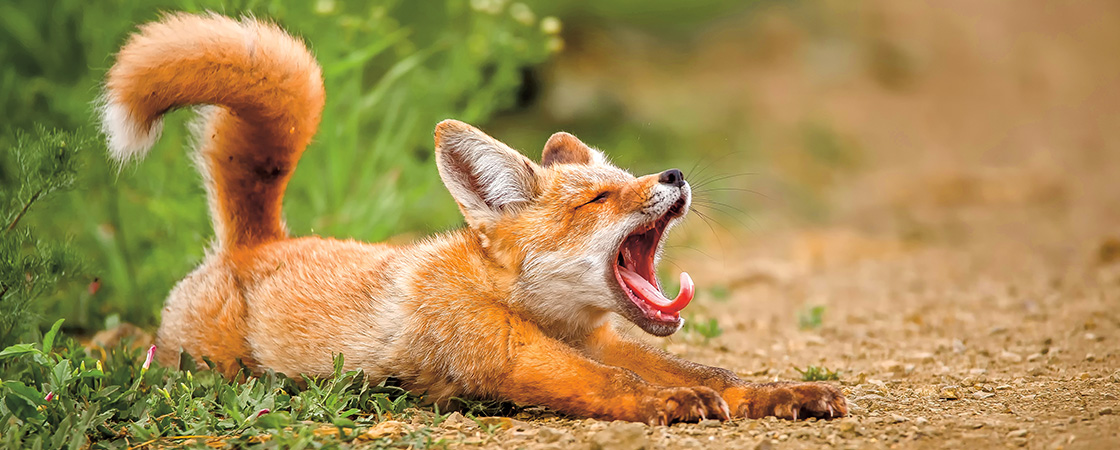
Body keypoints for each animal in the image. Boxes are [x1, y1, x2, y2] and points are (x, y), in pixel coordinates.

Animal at [99, 12, 847, 424]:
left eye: (624, 178)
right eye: (597, 200)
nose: (673, 175)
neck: (525, 305)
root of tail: (257, 243)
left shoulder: (602, 341)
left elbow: (714, 374)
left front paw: (784, 392)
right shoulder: (505, 353)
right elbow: (614, 385)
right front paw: (669, 406)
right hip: (202, 363)